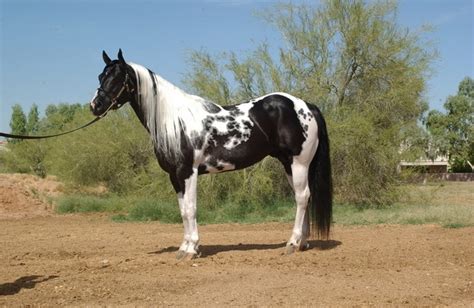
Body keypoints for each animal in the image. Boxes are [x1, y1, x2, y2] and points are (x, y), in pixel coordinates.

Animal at [90, 50, 334, 260]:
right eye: (101, 76)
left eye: (117, 78)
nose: (95, 105)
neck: (174, 120)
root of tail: (306, 106)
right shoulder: (174, 176)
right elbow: (182, 211)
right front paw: (184, 247)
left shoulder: (187, 172)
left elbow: (190, 209)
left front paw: (191, 249)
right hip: (289, 164)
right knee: (303, 197)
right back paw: (302, 243)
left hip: (299, 163)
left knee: (302, 197)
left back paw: (292, 243)